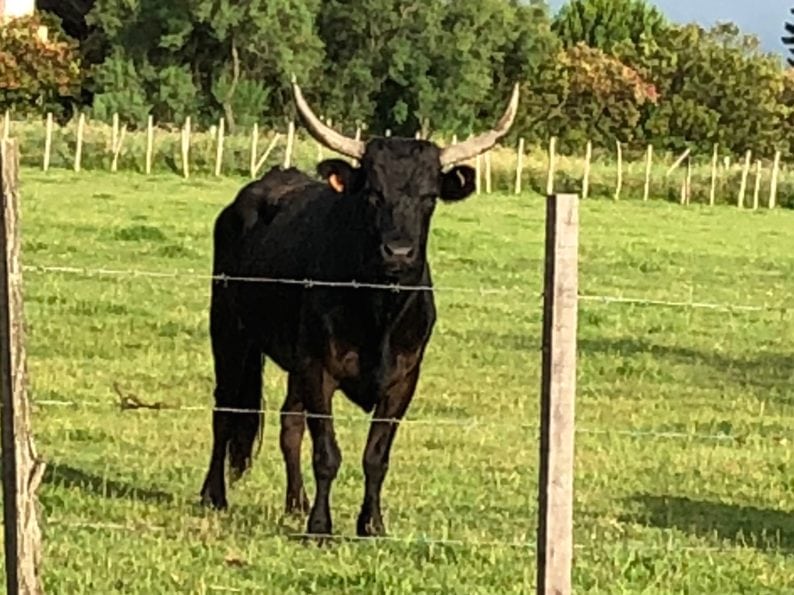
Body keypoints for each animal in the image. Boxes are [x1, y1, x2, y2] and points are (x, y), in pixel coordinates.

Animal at [201, 80, 516, 540]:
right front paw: (320, 527)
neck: (379, 312)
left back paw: (294, 503)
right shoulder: (319, 369)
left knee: (289, 422)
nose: (398, 252)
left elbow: (375, 456)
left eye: (429, 197)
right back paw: (214, 495)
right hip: (228, 330)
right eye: (373, 194)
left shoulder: (404, 379)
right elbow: (327, 453)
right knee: (224, 409)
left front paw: (372, 524)